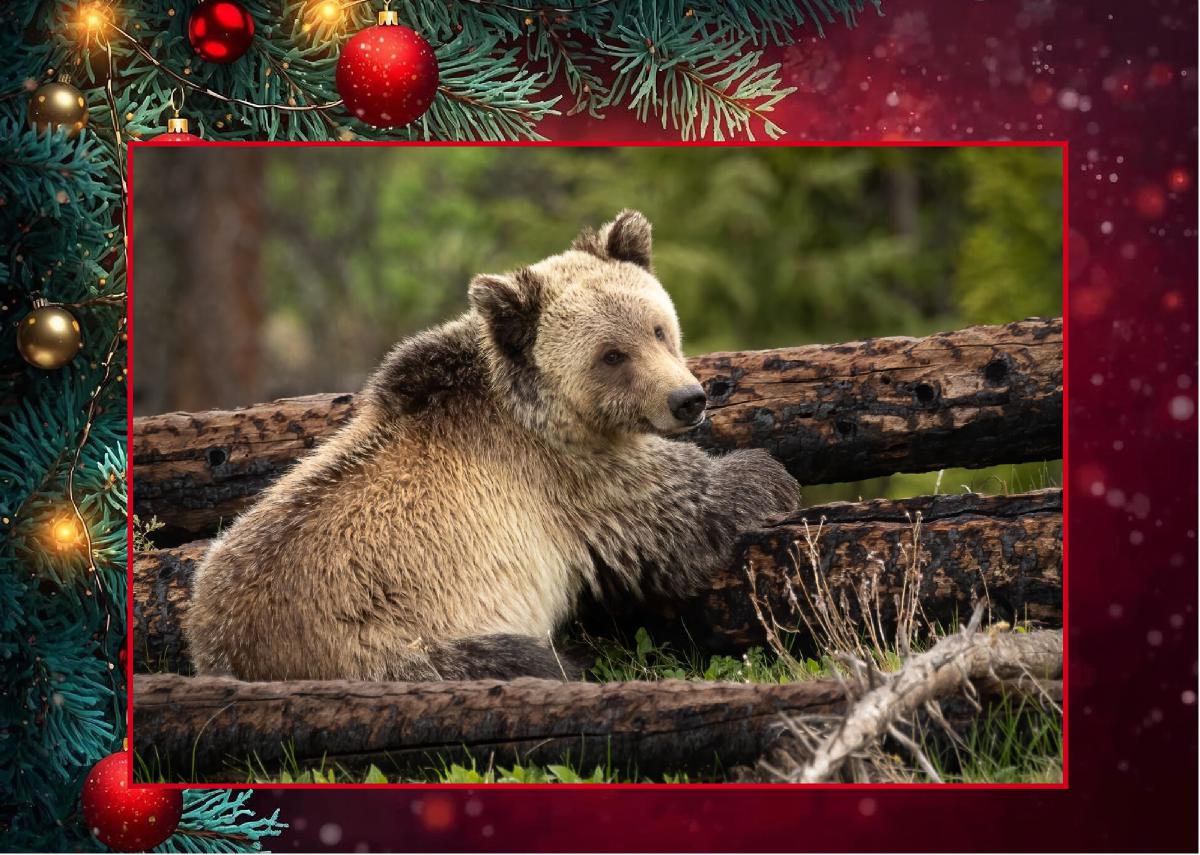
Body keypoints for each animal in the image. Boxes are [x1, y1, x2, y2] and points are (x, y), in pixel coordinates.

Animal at [182, 210, 800, 682]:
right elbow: (685, 513)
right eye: (611, 355)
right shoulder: (577, 478)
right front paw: (769, 473)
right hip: (392, 644)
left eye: (657, 328)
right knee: (520, 661)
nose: (687, 399)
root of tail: (223, 650)